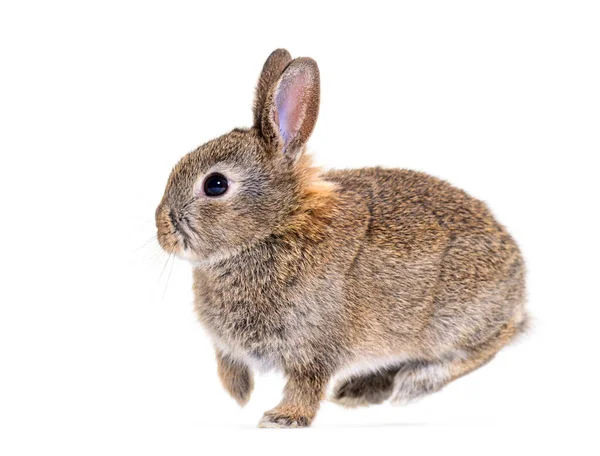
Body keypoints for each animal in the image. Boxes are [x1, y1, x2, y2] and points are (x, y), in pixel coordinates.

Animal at [156, 49, 528, 428]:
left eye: (215, 184)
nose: (162, 230)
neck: (278, 226)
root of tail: (518, 275)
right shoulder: (230, 348)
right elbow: (229, 367)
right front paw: (240, 396)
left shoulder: (314, 345)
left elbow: (306, 384)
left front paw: (282, 418)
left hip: (454, 322)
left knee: (489, 343)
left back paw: (414, 384)